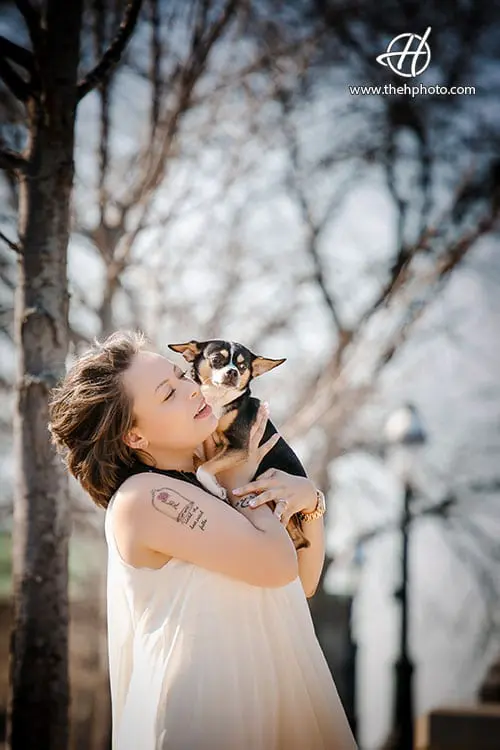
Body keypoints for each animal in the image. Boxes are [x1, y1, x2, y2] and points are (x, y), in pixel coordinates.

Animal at [168, 339, 310, 550]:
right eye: (217, 359)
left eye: (243, 367)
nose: (233, 372)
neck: (216, 399)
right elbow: (198, 461)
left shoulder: (240, 446)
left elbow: (203, 468)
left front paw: (214, 488)